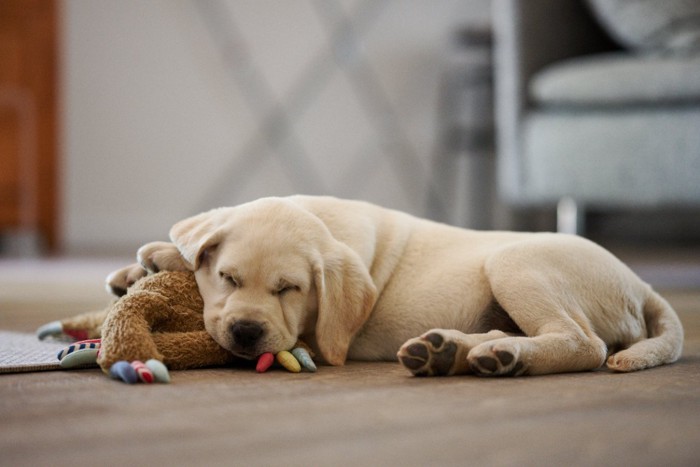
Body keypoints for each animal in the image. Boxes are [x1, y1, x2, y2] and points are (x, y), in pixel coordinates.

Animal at [109, 196, 684, 378]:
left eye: (289, 289)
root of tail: (643, 284)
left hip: (515, 262)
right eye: (228, 278)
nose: (247, 332)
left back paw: (502, 357)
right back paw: (451, 351)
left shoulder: (320, 331)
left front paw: (159, 259)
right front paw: (148, 264)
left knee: (584, 343)